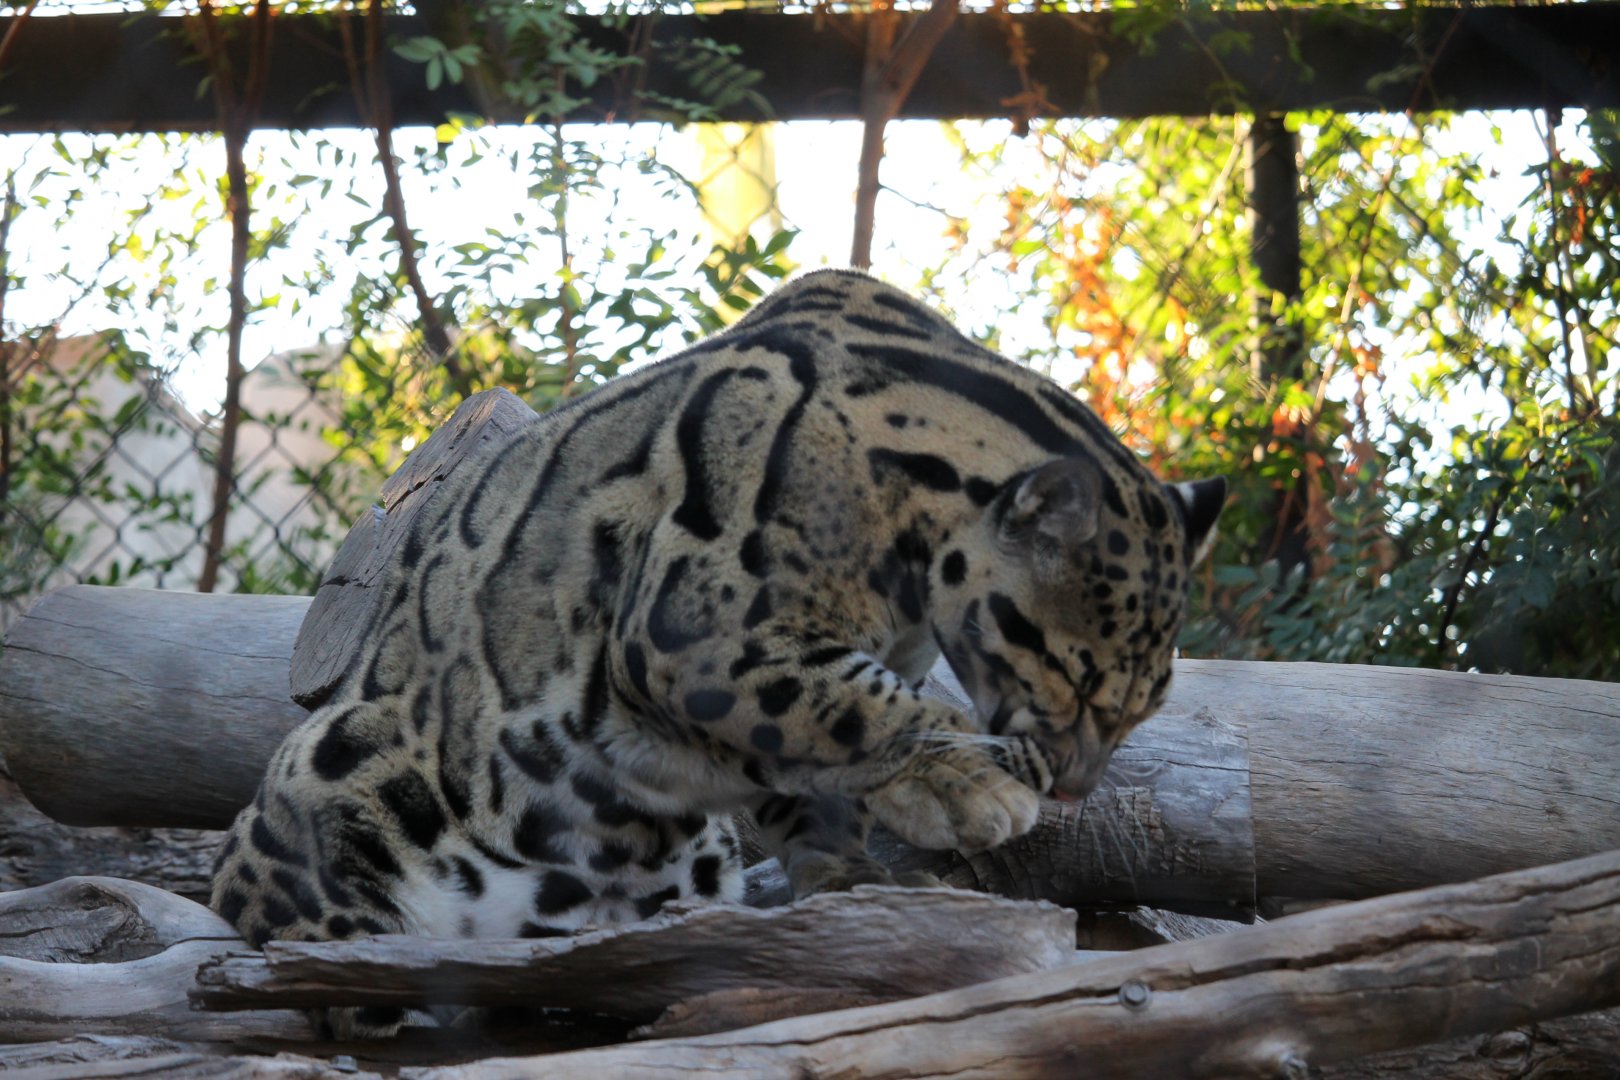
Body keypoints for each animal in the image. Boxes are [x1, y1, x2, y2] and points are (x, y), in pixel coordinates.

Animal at [211, 268, 1224, 1036]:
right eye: (1076, 679)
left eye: (1146, 705)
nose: (1076, 789)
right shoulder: (694, 629)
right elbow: (860, 704)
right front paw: (969, 782)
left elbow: (817, 764)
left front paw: (854, 882)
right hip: (334, 766)